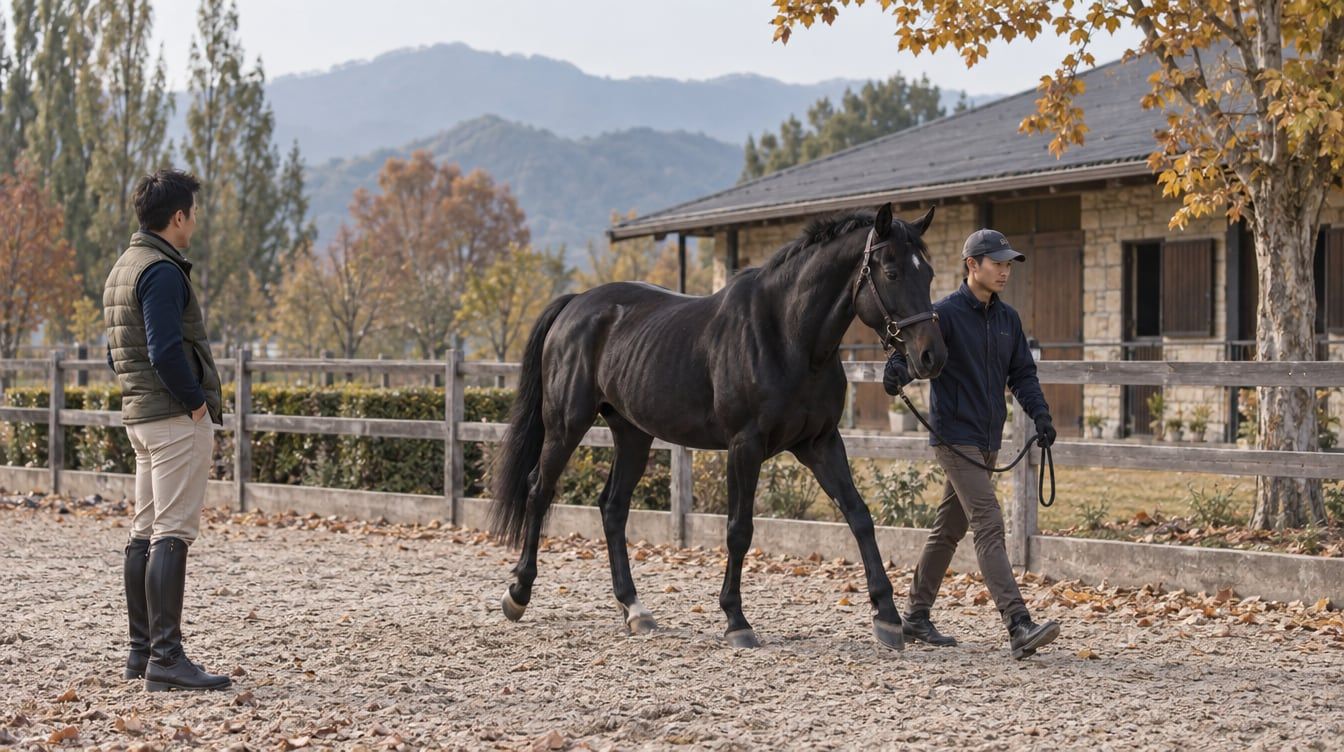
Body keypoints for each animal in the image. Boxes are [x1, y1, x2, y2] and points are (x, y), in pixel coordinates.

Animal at [489, 202, 946, 650]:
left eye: (929, 272)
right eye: (892, 272)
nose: (930, 356)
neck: (787, 335)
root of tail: (575, 304)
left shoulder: (821, 443)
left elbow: (859, 516)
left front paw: (887, 617)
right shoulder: (745, 445)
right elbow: (739, 529)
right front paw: (736, 620)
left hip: (633, 433)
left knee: (613, 508)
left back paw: (634, 610)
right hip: (566, 425)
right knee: (538, 490)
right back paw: (518, 593)